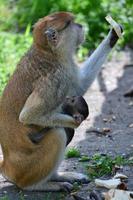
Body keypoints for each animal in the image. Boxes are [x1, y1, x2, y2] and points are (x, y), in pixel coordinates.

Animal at [0, 12, 122, 191]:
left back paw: (57, 176)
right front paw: (76, 120)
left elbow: (80, 85)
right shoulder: (54, 78)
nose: (80, 25)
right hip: (27, 167)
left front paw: (113, 35)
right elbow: (28, 116)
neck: (48, 52)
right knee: (59, 133)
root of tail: (7, 167)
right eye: (70, 23)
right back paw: (40, 185)